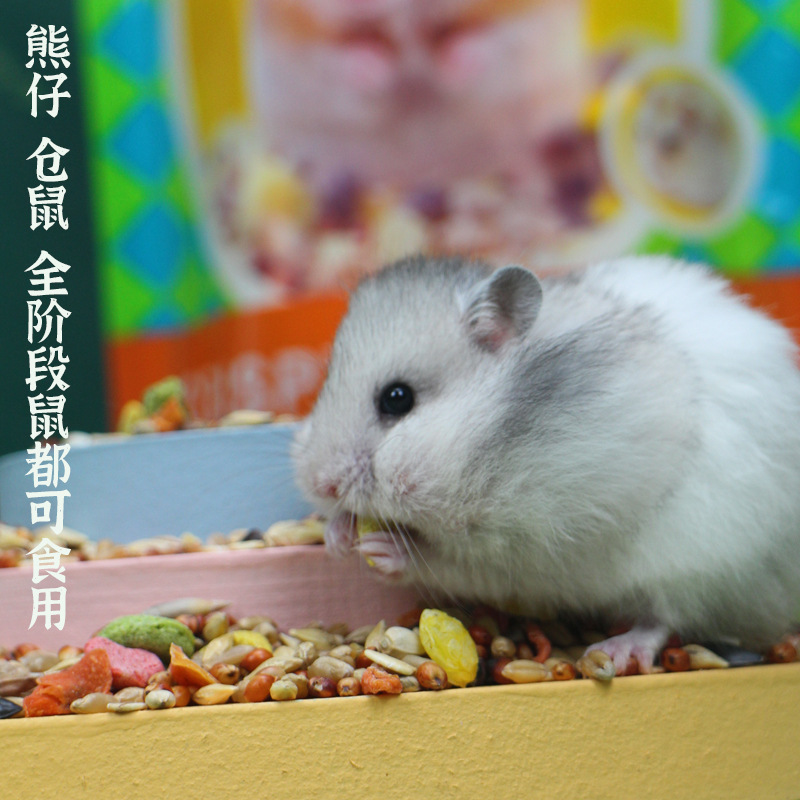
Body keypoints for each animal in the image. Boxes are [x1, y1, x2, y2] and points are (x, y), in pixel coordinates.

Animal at [292, 254, 800, 672]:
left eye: (397, 399)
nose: (322, 483)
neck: (497, 437)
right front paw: (337, 536)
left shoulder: (535, 546)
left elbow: (451, 562)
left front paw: (382, 549)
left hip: (699, 566)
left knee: (664, 618)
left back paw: (616, 651)